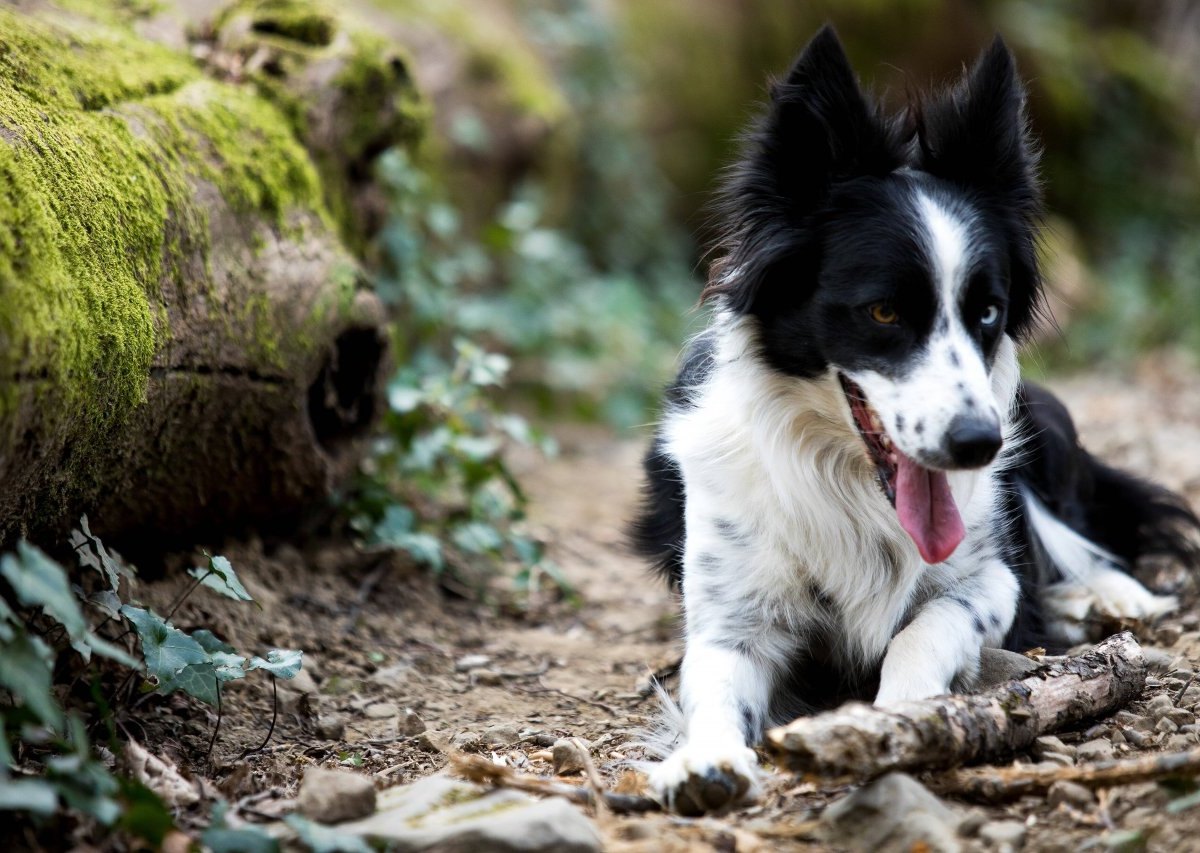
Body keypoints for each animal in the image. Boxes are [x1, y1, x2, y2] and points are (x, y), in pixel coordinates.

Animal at [628, 25, 1200, 815]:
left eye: (986, 310)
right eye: (882, 311)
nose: (977, 445)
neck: (848, 484)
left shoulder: (990, 579)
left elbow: (928, 626)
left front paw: (900, 719)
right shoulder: (730, 618)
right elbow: (711, 684)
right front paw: (703, 761)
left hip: (1042, 420)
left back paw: (1111, 595)